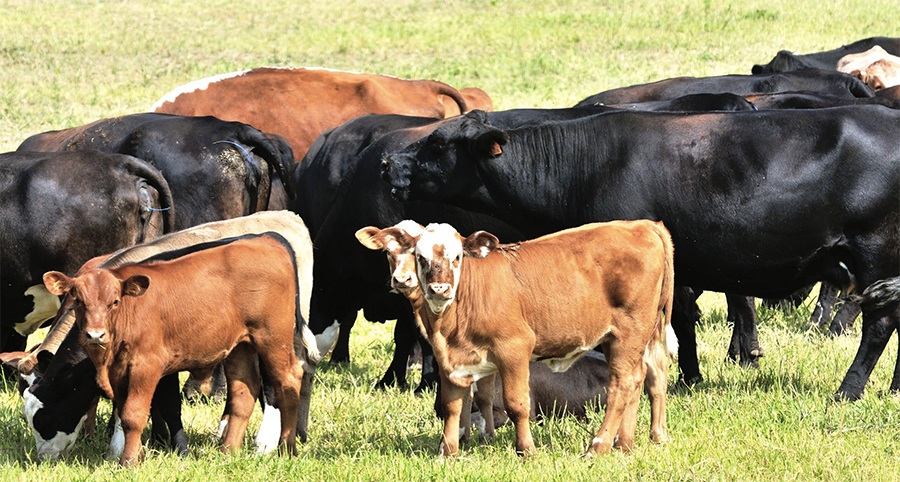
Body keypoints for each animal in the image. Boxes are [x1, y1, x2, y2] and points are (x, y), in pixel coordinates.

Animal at [17, 211, 317, 461]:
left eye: (43, 420)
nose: (41, 458)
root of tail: (271, 238)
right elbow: (138, 407)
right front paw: (145, 445)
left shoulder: (154, 362)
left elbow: (162, 406)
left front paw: (166, 449)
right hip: (241, 346)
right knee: (246, 390)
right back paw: (230, 448)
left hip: (274, 338)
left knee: (286, 380)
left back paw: (277, 446)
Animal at [358, 220, 676, 457]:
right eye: (420, 257)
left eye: (457, 257)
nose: (438, 288)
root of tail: (642, 224)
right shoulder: (450, 357)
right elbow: (454, 405)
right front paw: (448, 452)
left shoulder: (514, 348)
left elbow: (516, 403)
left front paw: (526, 450)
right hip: (630, 336)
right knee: (647, 375)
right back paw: (634, 441)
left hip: (630, 330)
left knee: (622, 384)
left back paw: (598, 446)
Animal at [381, 107, 900, 401]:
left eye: (438, 142)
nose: (388, 162)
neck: (584, 167)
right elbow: (683, 320)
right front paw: (691, 377)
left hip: (876, 255)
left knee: (879, 325)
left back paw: (848, 391)